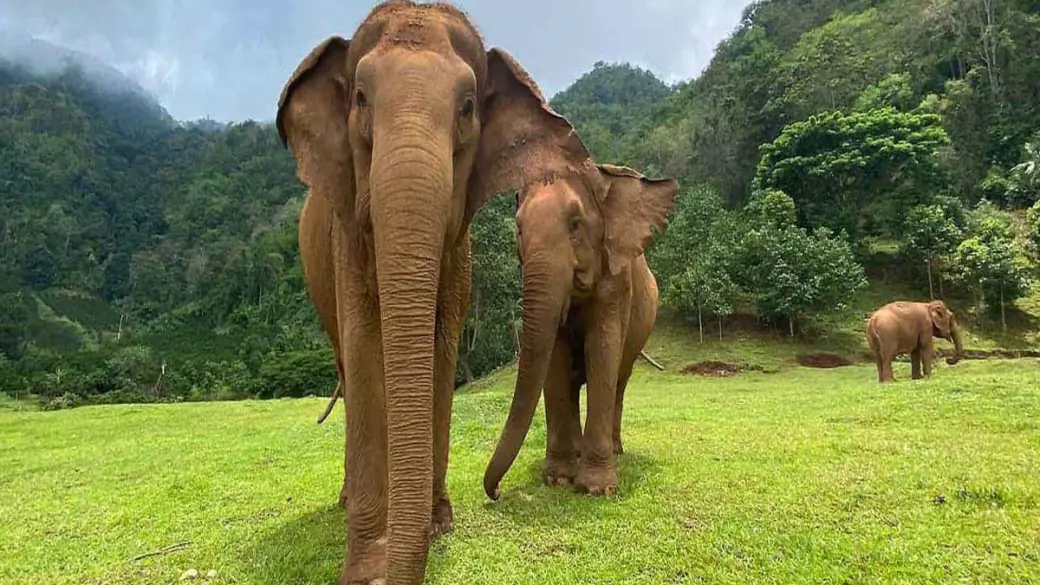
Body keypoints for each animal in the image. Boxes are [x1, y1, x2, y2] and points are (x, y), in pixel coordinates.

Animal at [276, 2, 593, 583]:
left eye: (467, 107)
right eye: (360, 98)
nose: (495, 497)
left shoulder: (459, 251)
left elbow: (442, 355)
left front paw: (439, 523)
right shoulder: (345, 235)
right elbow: (365, 349)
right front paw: (364, 566)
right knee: (347, 368)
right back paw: (344, 502)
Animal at [482, 162, 678, 500]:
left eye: (575, 224)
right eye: (518, 229)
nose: (496, 493)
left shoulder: (616, 278)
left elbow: (602, 349)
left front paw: (597, 489)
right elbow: (555, 356)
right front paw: (559, 479)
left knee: (620, 380)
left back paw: (615, 450)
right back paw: (576, 454)